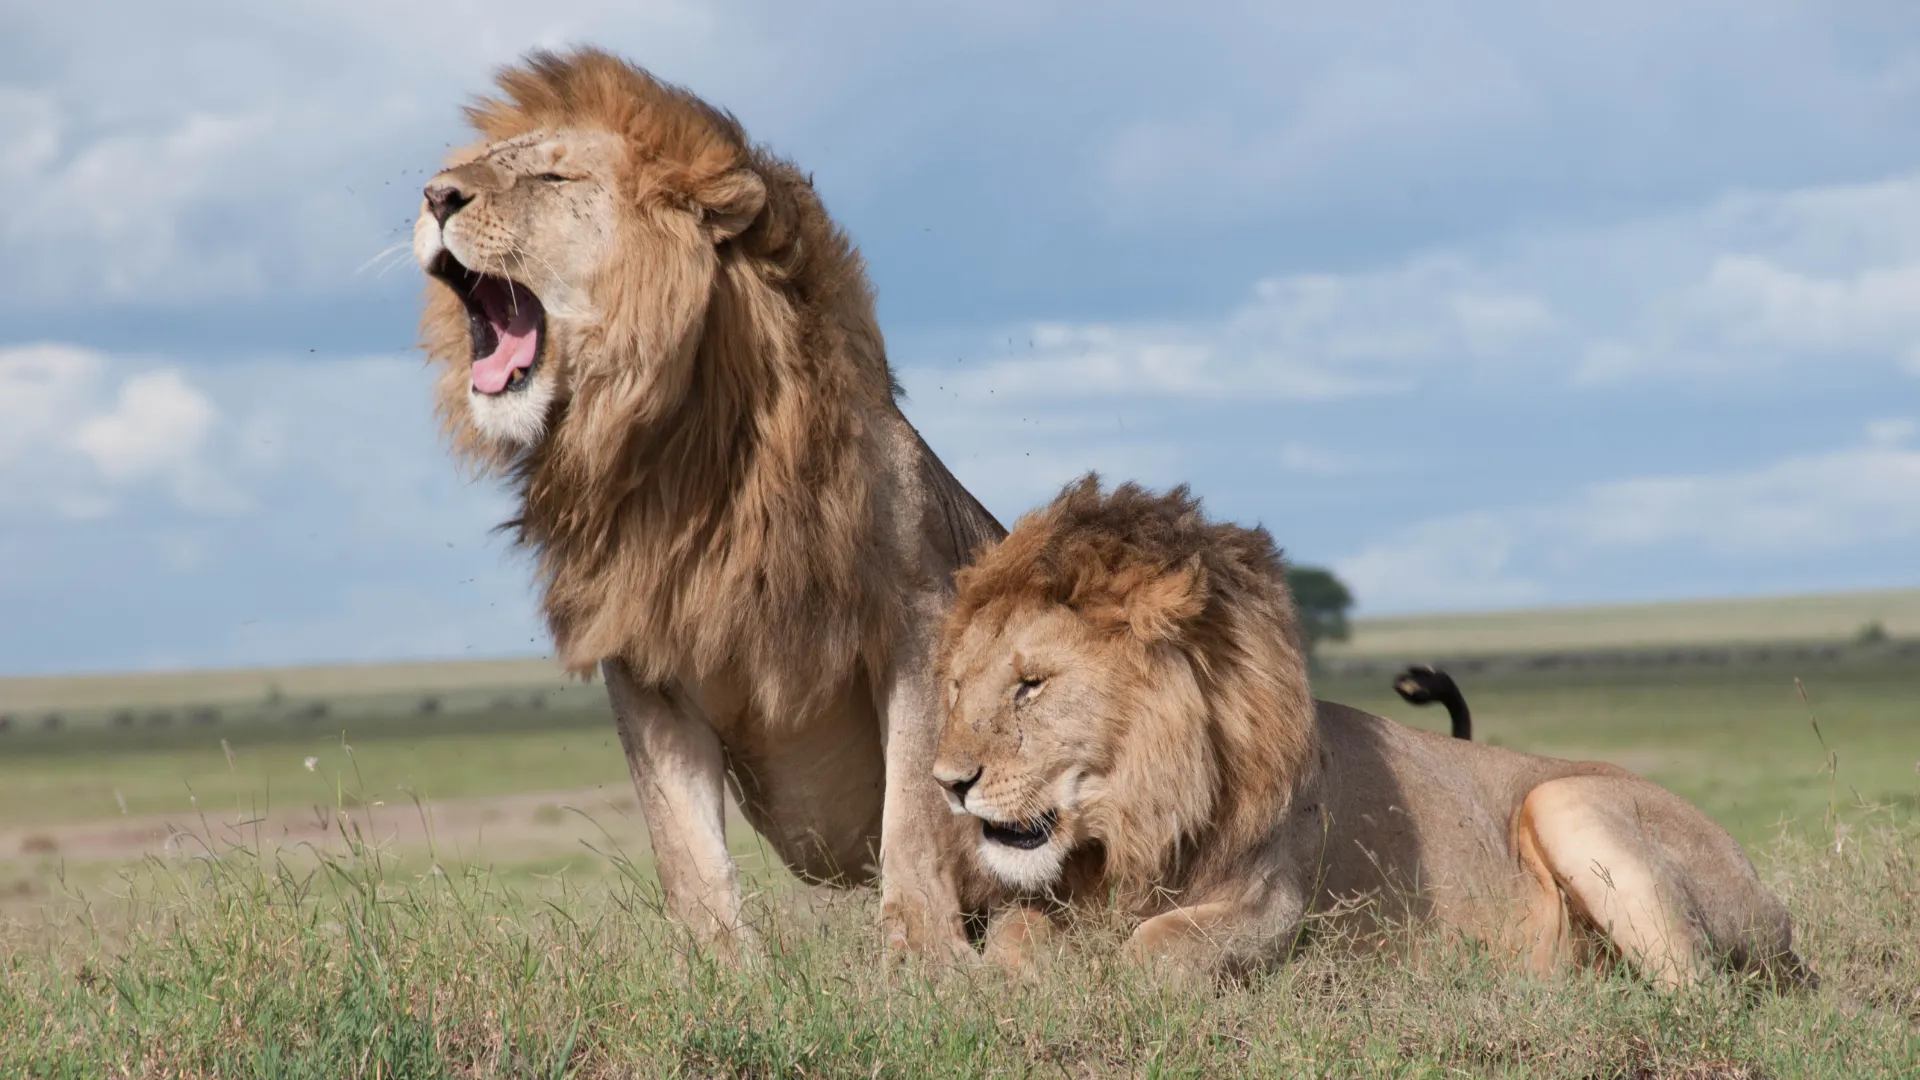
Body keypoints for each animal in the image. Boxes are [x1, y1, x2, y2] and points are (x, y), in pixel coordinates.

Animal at [412, 48, 1005, 959]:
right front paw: (722, 969)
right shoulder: (643, 658)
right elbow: (683, 844)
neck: (677, 457)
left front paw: (922, 958)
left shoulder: (918, 618)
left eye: (551, 176)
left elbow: (914, 808)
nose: (435, 195)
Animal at [932, 476, 1810, 989]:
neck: (1135, 820)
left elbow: (1156, 949)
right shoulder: (1052, 896)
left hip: (1567, 801)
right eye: (958, 686)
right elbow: (1013, 935)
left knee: (1701, 994)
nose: (947, 784)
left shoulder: (1274, 907)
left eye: (1032, 685)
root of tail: (1778, 913)